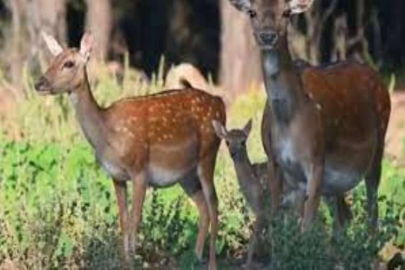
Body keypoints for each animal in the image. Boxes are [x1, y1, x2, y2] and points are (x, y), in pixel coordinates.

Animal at [34, 32, 227, 270]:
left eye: (69, 63)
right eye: (52, 60)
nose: (39, 83)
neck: (108, 135)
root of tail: (220, 103)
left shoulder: (140, 169)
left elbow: (135, 220)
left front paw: (134, 260)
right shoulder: (116, 176)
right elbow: (124, 220)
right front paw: (125, 261)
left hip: (209, 154)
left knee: (214, 205)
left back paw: (211, 263)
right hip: (186, 174)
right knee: (202, 207)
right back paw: (195, 258)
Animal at [227, 0, 388, 232]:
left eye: (286, 12)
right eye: (252, 12)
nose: (268, 36)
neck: (289, 121)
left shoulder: (317, 160)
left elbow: (307, 226)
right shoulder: (275, 161)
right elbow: (277, 217)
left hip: (378, 146)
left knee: (372, 207)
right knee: (343, 218)